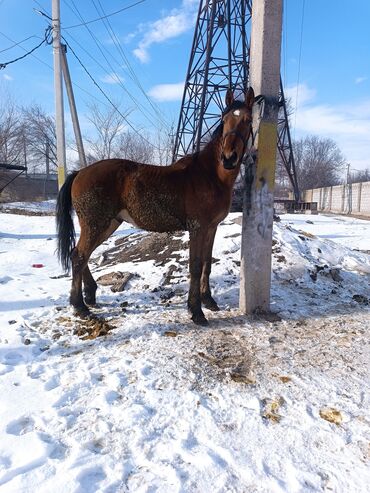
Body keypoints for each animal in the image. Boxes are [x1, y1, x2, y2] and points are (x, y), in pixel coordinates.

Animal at [55, 87, 254, 326]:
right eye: (224, 120)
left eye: (248, 120)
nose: (229, 158)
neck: (210, 175)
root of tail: (79, 173)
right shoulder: (197, 228)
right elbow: (196, 266)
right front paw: (196, 311)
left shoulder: (211, 227)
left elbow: (207, 262)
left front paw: (208, 301)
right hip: (96, 224)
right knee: (79, 256)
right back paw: (80, 306)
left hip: (108, 224)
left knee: (82, 255)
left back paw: (90, 296)